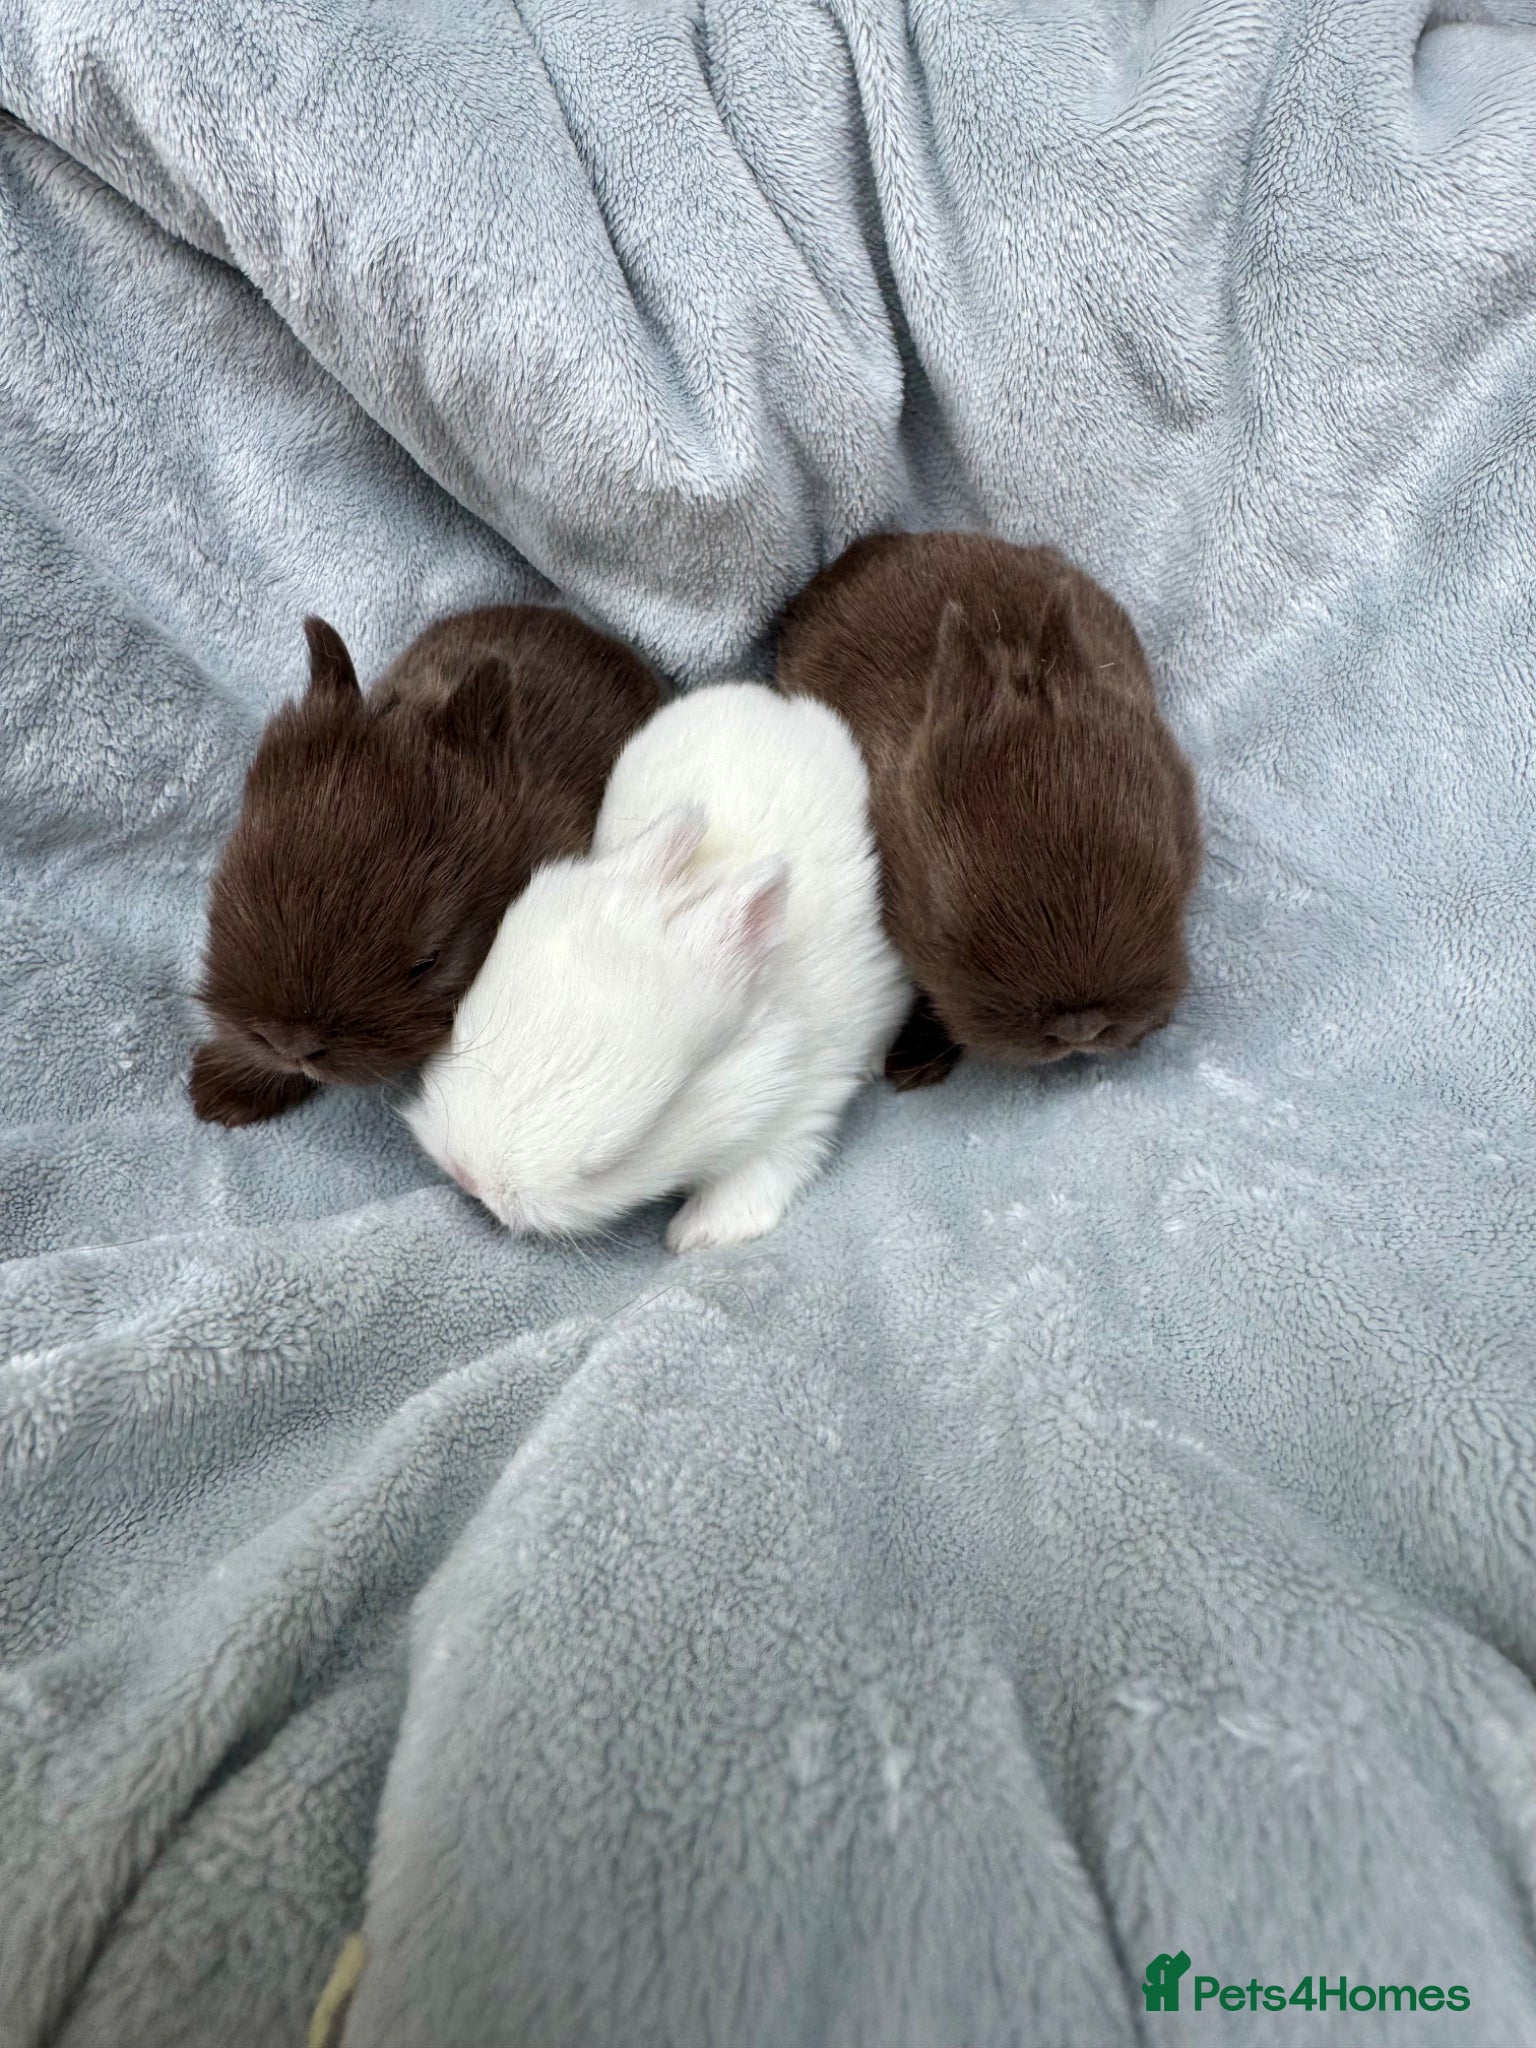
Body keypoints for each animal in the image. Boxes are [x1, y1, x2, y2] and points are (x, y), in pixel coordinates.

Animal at [405, 683, 911, 1252]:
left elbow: (756, 1177)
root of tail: (772, 702)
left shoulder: (803, 1104)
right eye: (460, 1025)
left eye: (619, 1156)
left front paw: (697, 1236)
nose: (468, 1176)